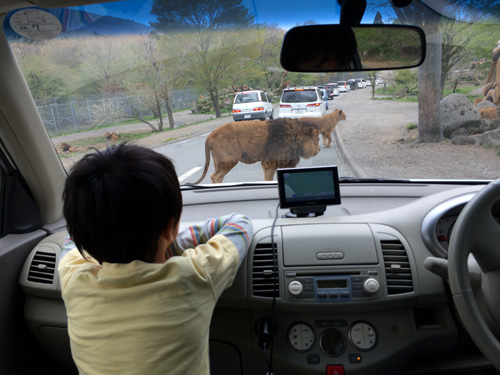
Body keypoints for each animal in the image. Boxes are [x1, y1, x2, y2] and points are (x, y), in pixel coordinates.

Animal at [189, 118, 322, 184]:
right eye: (317, 139)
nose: (319, 149)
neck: (295, 135)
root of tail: (210, 136)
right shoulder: (269, 163)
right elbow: (268, 178)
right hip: (229, 159)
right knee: (215, 177)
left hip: (219, 162)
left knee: (218, 177)